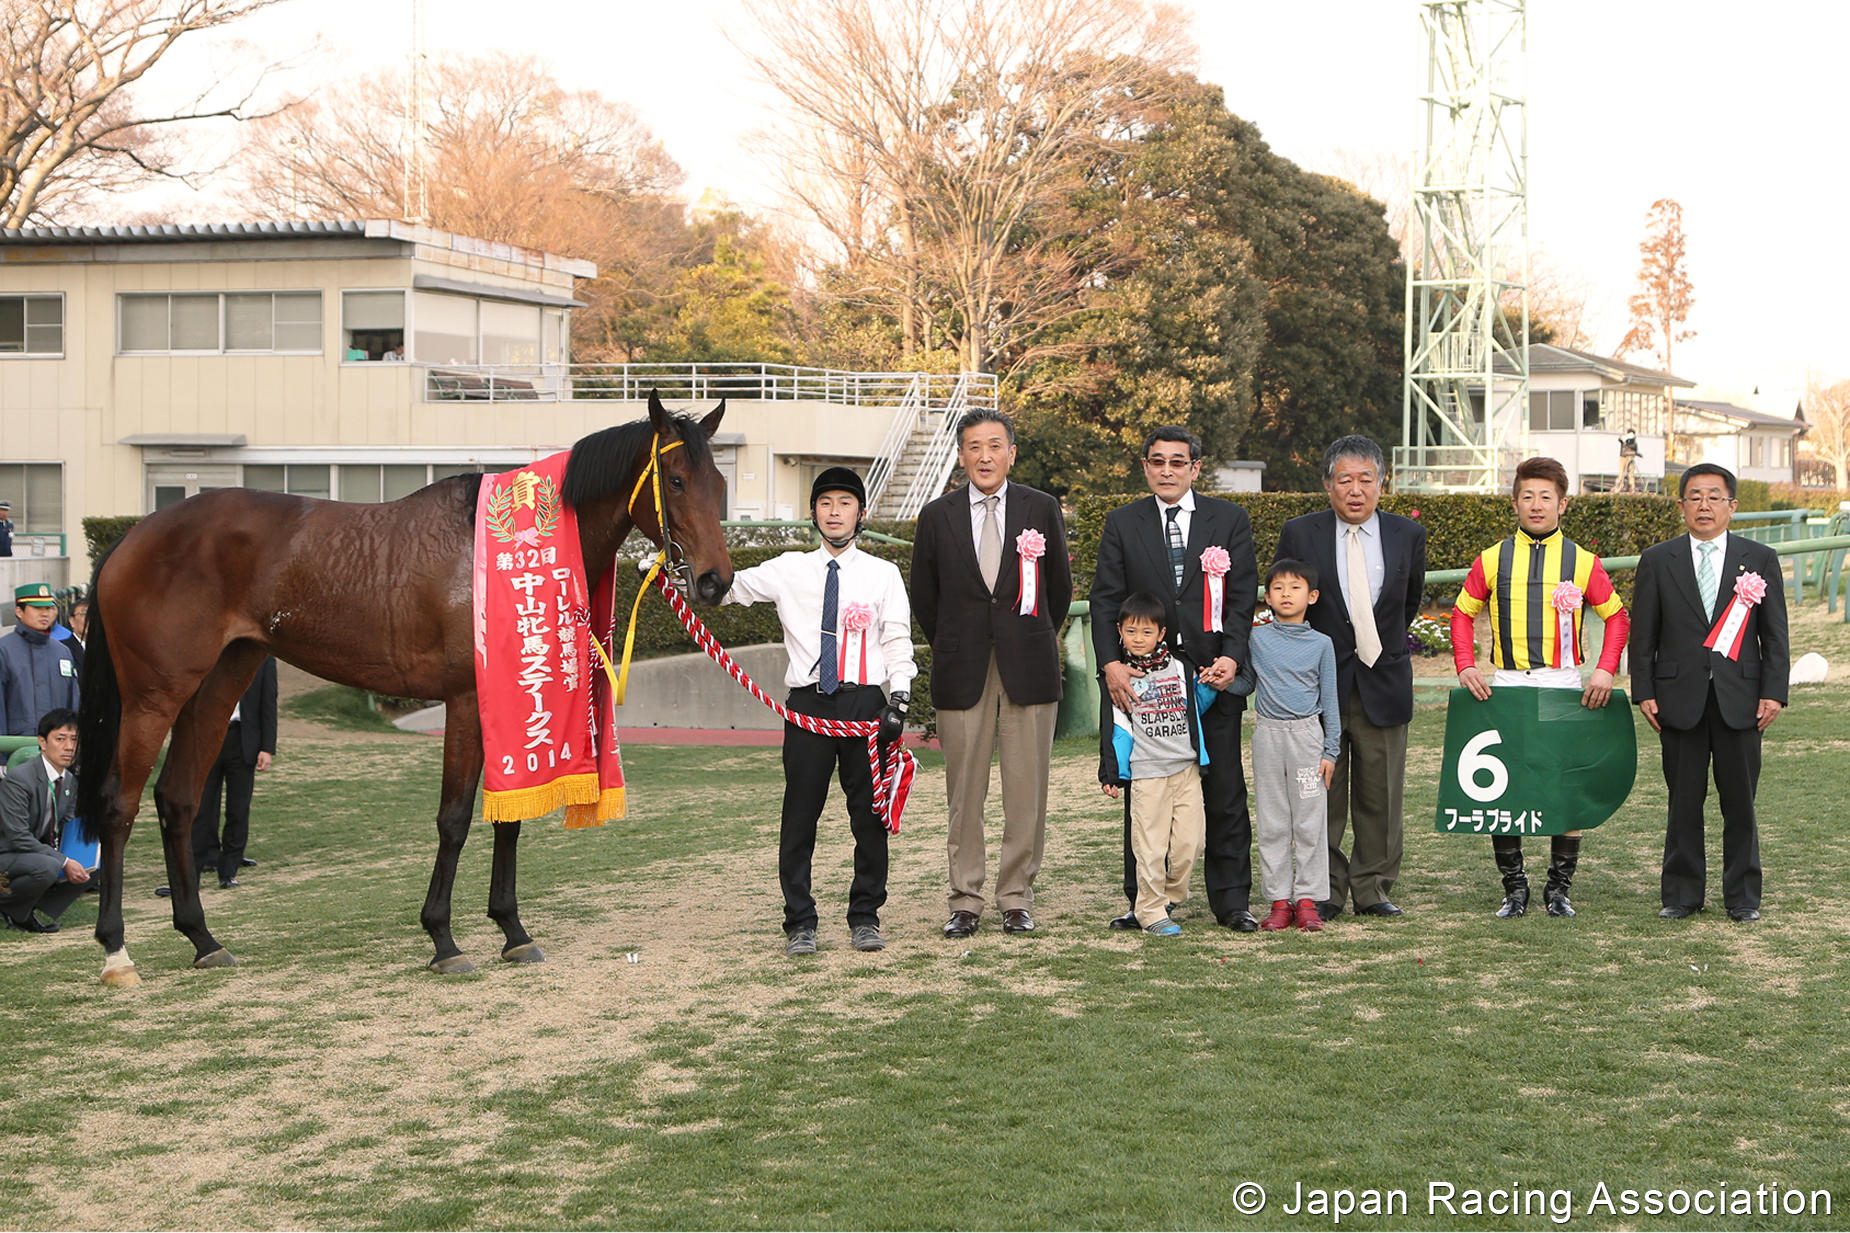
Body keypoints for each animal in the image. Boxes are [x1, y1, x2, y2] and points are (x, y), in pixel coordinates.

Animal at [77, 394, 728, 992]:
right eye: (675, 480)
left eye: (719, 484)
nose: (715, 580)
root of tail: (132, 538)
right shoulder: (465, 700)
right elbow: (455, 818)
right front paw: (443, 938)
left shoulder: (510, 702)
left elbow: (509, 816)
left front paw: (513, 931)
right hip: (153, 697)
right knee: (118, 804)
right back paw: (116, 953)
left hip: (219, 684)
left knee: (178, 799)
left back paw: (203, 939)